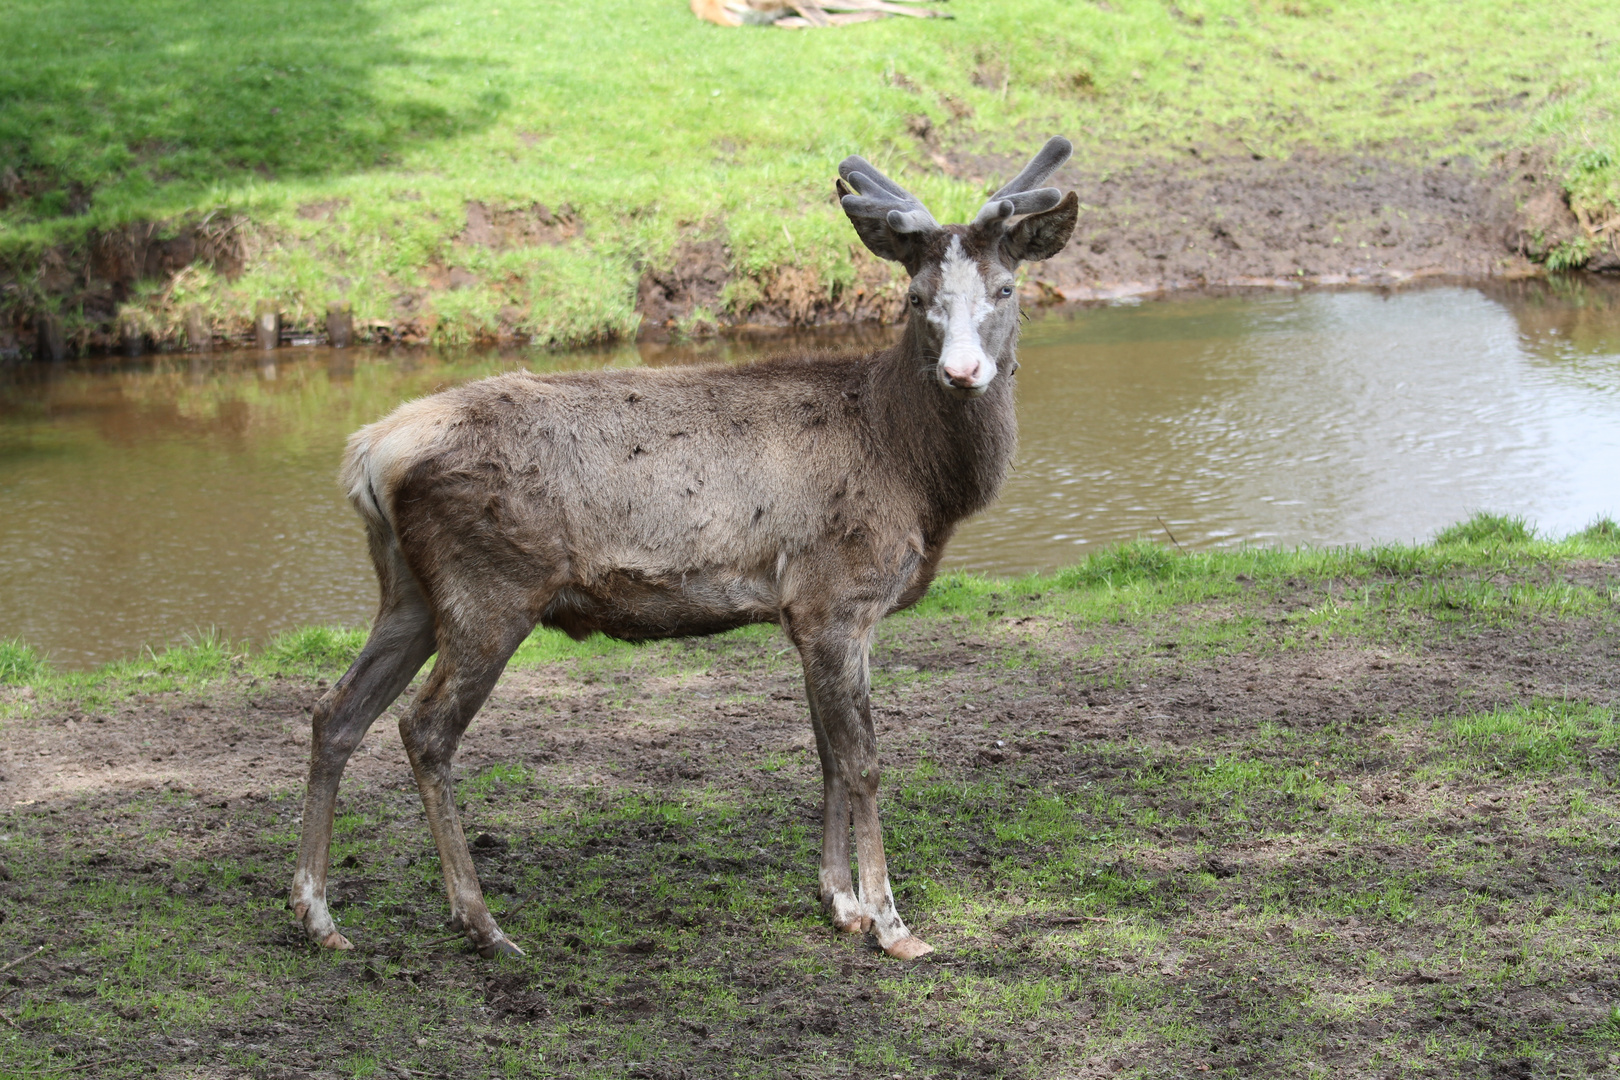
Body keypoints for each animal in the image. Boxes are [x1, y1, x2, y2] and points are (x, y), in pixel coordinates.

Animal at [288, 137, 1075, 965]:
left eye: (1006, 288)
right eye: (916, 297)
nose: (963, 372)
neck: (916, 474)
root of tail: (369, 454)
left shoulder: (806, 612)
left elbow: (825, 754)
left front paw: (840, 904)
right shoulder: (838, 595)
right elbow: (861, 761)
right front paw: (891, 923)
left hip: (409, 590)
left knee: (336, 711)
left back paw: (317, 914)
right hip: (490, 589)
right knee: (425, 729)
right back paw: (478, 919)